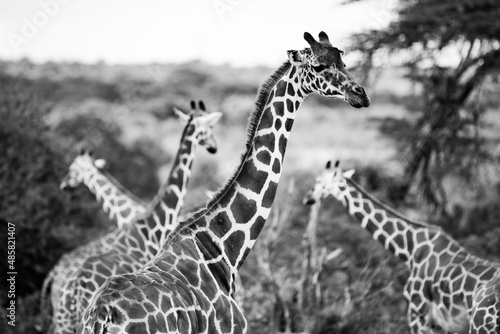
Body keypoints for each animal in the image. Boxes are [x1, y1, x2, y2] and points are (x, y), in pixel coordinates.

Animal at [76, 32, 370, 334]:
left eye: (343, 61)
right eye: (319, 67)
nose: (361, 95)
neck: (224, 250)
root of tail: (101, 317)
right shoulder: (232, 329)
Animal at [302, 160, 500, 332]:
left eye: (319, 181)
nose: (307, 198)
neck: (411, 249)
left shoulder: (418, 314)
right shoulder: (442, 325)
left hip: (480, 326)